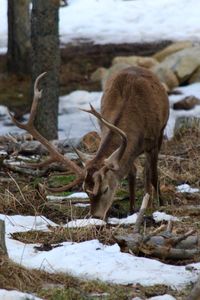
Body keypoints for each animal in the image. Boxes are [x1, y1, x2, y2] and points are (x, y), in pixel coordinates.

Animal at [9, 67, 169, 219]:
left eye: (105, 189)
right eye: (86, 192)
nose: (96, 216)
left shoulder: (155, 140)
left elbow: (154, 175)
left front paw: (160, 205)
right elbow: (132, 172)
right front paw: (132, 209)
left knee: (148, 171)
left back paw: (151, 200)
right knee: (134, 171)